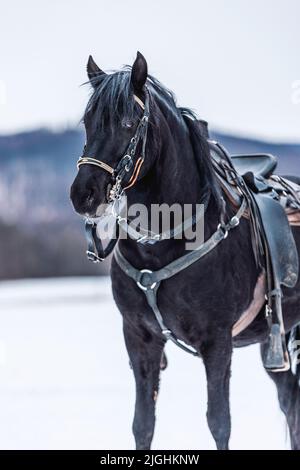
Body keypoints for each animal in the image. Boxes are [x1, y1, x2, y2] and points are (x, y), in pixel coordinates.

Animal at [70, 52, 300, 452]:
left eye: (128, 122)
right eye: (88, 121)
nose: (84, 194)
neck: (160, 247)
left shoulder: (217, 341)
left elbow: (219, 422)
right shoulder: (140, 337)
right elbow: (142, 424)